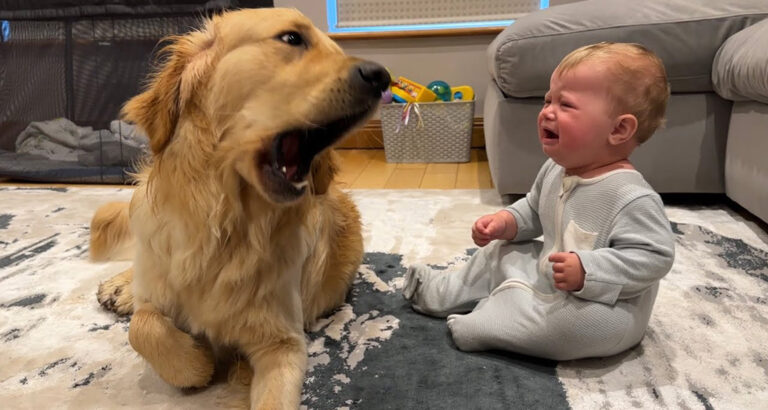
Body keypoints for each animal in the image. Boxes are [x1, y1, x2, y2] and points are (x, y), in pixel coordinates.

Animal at [91, 7, 390, 410]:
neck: (225, 225)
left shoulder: (283, 344)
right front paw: (196, 363)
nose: (382, 77)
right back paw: (120, 287)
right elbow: (144, 327)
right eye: (292, 38)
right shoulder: (160, 293)